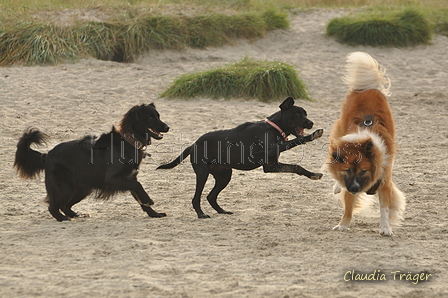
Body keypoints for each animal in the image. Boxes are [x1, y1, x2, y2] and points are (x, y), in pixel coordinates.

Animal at [14, 103, 169, 220]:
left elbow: (139, 195)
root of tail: (46, 155)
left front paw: (154, 214)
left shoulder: (129, 177)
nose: (168, 127)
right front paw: (149, 200)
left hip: (82, 188)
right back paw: (62, 218)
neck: (128, 140)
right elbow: (138, 187)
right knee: (53, 206)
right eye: (150, 117)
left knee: (65, 206)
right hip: (65, 188)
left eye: (158, 116)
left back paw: (76, 215)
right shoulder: (113, 179)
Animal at [158, 98, 322, 219]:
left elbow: (296, 167)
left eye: (305, 113)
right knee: (196, 198)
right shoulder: (269, 151)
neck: (273, 128)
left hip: (224, 176)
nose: (310, 123)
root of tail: (193, 144)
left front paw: (313, 174)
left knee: (211, 196)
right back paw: (201, 214)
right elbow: (294, 141)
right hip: (202, 174)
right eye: (297, 114)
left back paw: (222, 211)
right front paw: (312, 135)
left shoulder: (271, 166)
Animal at [326, 52, 406, 236]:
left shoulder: (384, 181)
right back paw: (337, 186)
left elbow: (385, 208)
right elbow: (348, 205)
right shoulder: (349, 183)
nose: (356, 188)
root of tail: (370, 87)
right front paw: (343, 224)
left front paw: (385, 227)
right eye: (347, 170)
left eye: (364, 171)